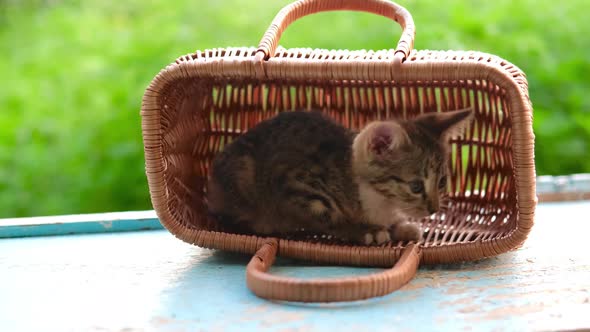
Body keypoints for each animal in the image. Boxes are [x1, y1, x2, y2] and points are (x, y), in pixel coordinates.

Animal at [208, 108, 476, 244]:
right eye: (416, 186)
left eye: (442, 182)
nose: (434, 209)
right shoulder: (294, 185)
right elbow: (329, 218)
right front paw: (364, 230)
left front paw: (400, 227)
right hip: (244, 176)